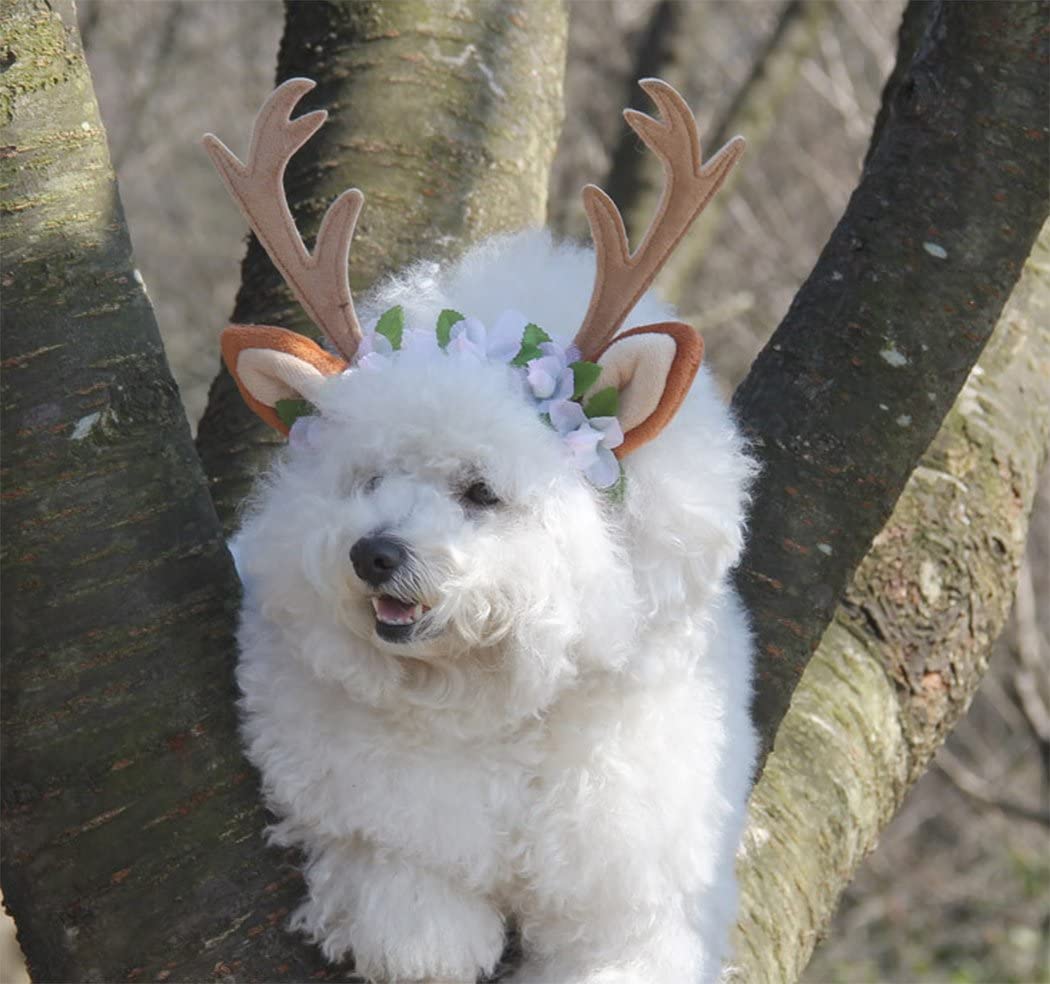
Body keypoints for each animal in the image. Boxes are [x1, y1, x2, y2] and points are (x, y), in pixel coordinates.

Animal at [206, 78, 755, 982]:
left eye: (481, 492)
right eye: (368, 479)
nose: (373, 553)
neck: (502, 705)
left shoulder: (631, 897)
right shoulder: (380, 832)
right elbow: (415, 922)